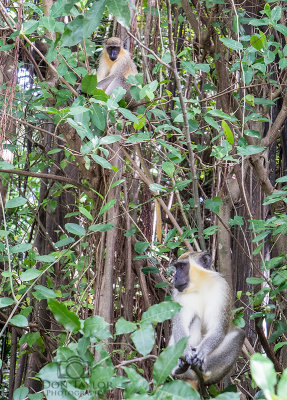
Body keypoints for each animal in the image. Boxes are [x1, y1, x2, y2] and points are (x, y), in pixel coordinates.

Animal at [170, 252, 246, 392]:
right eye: (176, 267)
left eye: (182, 267)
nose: (175, 277)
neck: (200, 284)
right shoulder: (178, 294)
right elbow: (179, 325)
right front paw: (187, 352)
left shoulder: (222, 289)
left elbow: (218, 329)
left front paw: (201, 352)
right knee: (196, 319)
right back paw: (182, 369)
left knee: (239, 335)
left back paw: (203, 370)